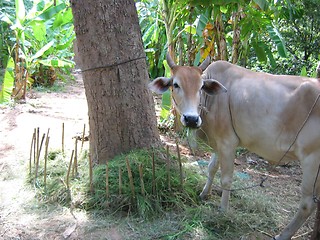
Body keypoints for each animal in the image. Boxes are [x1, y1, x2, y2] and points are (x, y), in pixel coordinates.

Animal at [149, 53, 320, 240]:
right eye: (176, 84)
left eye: (201, 87)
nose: (192, 119)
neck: (212, 101)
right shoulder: (218, 144)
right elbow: (211, 168)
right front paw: (204, 194)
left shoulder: (228, 143)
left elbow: (226, 179)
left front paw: (223, 211)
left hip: (312, 161)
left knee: (307, 204)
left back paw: (283, 235)